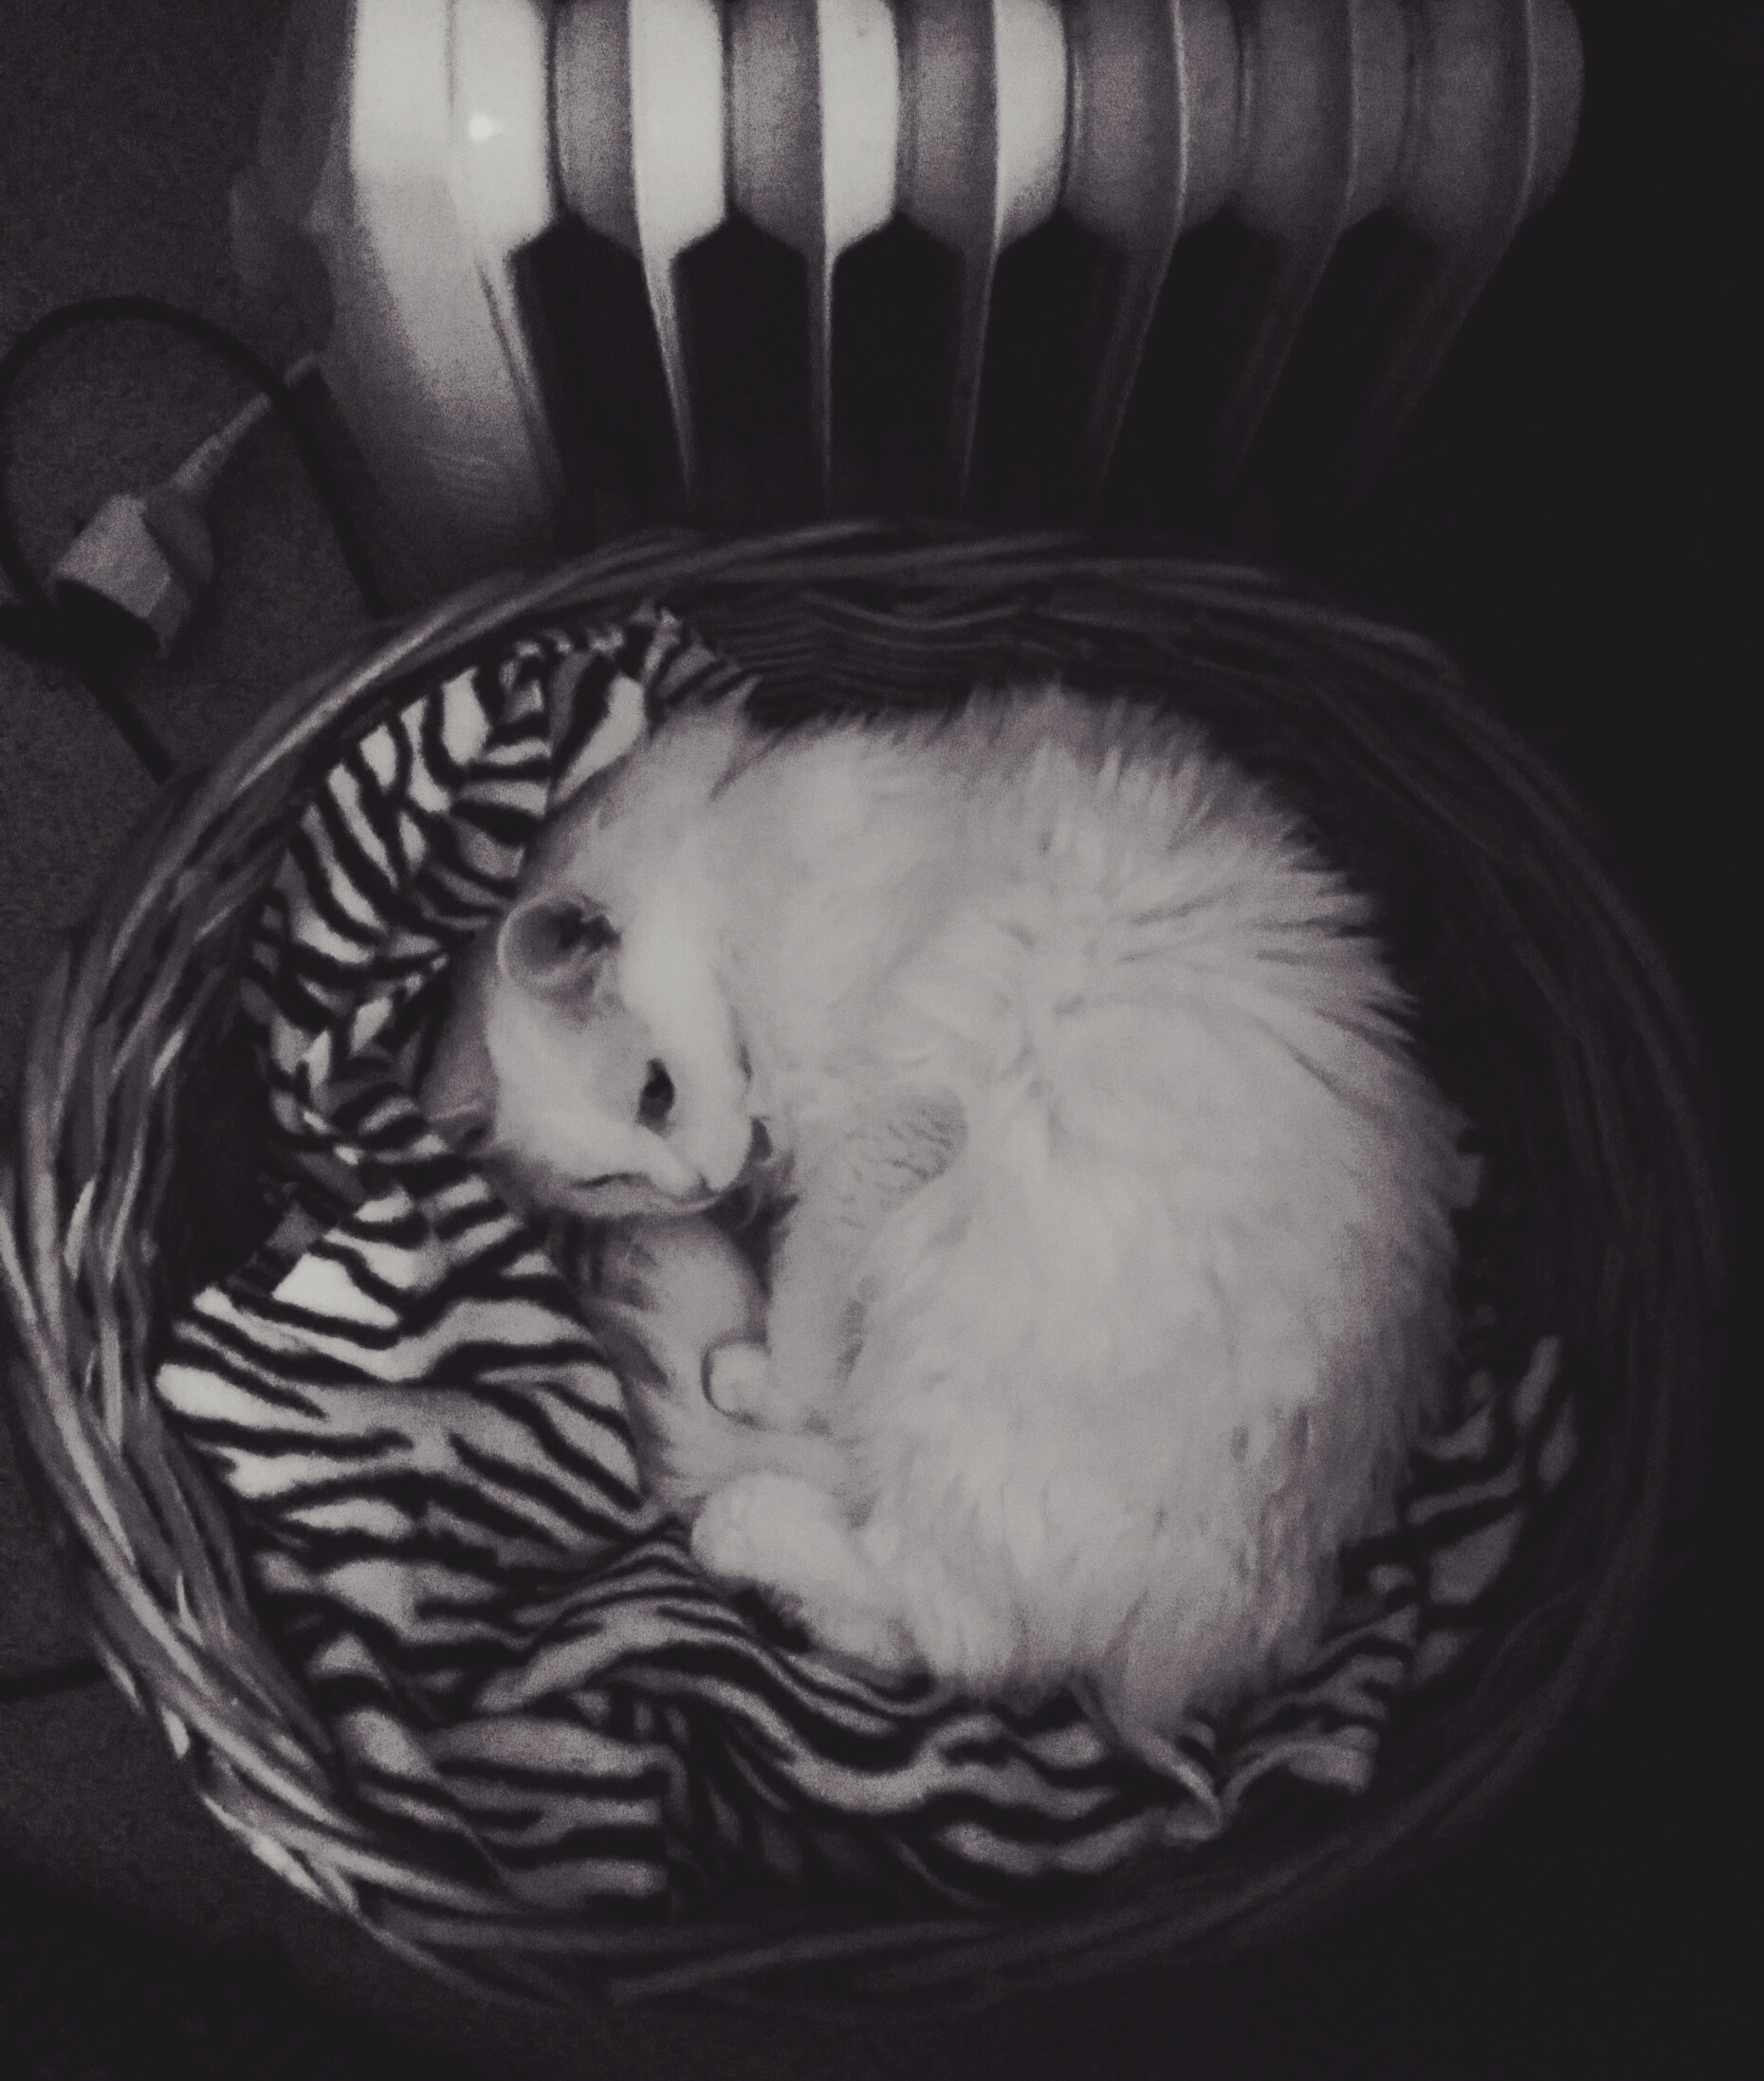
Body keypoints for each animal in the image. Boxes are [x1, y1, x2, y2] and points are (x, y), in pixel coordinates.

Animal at [418, 682, 1476, 1775]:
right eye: (610, 1180)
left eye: (655, 1093)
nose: (698, 1184)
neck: (727, 840)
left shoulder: (879, 1136)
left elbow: (802, 1322)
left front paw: (766, 1373)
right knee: (922, 1636)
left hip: (948, 1356)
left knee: (936, 1610)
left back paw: (740, 1511)